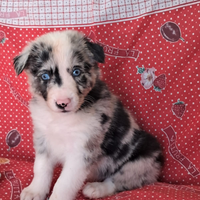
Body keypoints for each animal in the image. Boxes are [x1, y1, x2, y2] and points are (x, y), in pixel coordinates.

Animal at [13, 30, 163, 200]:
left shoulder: (82, 151)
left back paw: (96, 188)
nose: (63, 103)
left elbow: (64, 183)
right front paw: (35, 191)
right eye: (45, 76)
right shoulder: (43, 140)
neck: (61, 119)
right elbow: (41, 169)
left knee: (118, 181)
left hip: (141, 161)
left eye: (76, 72)